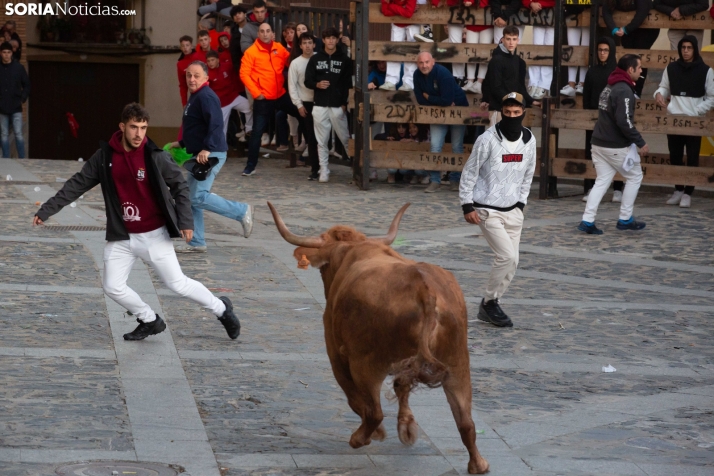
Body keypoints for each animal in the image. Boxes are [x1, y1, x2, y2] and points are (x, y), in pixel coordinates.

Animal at [268, 202, 490, 476]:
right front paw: (407, 427)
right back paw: (478, 464)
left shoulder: (336, 353)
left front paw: (383, 432)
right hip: (457, 363)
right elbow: (401, 387)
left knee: (374, 411)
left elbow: (355, 397)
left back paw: (360, 437)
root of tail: (424, 287)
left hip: (366, 363)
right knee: (466, 422)